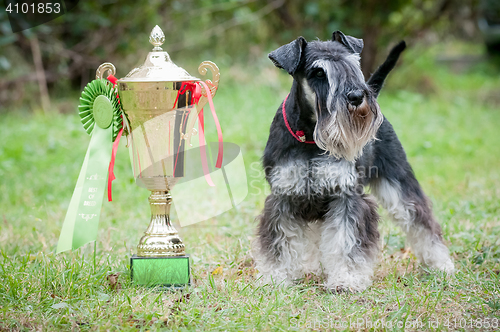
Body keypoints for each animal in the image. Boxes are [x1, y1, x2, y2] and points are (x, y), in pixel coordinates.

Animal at [254, 30, 454, 290]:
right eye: (319, 73)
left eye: (353, 65)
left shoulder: (347, 195)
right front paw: (275, 276)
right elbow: (280, 242)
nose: (357, 96)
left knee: (421, 221)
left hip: (399, 182)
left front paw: (345, 279)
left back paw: (441, 264)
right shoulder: (283, 196)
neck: (310, 137)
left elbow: (345, 241)